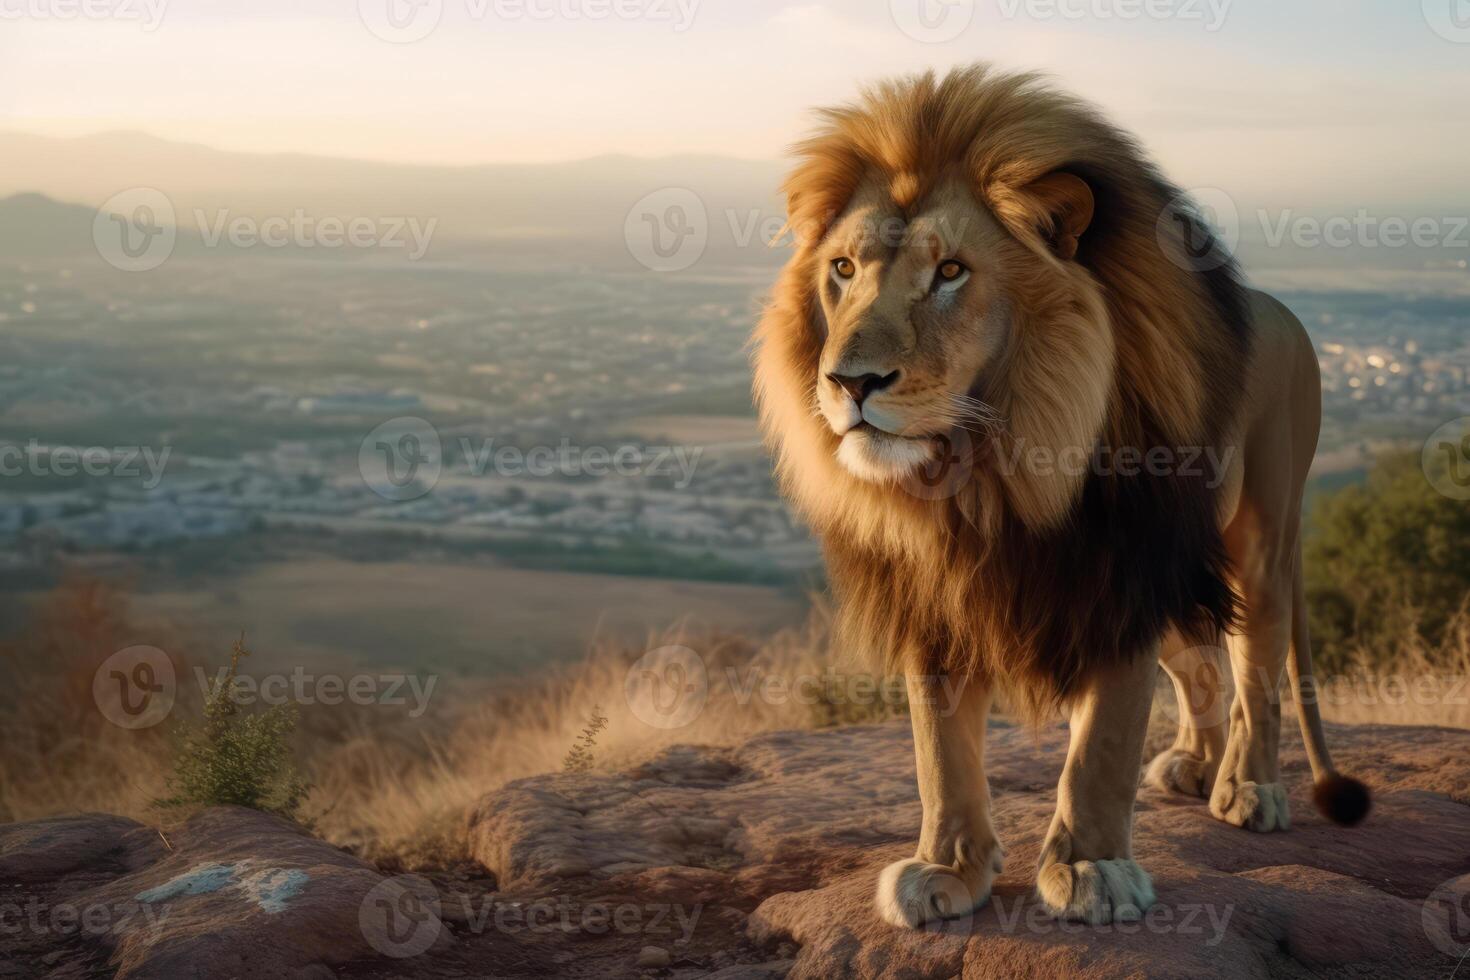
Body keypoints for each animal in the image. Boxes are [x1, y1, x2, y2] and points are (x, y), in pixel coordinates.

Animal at [752, 65, 1370, 934]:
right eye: (842, 270)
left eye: (951, 272)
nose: (850, 382)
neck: (985, 477)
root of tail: (1285, 312)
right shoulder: (935, 595)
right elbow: (938, 751)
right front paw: (948, 869)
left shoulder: (1119, 574)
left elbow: (1102, 746)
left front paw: (1091, 869)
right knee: (1205, 668)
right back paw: (1194, 764)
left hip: (1261, 540)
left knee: (1257, 671)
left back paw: (1248, 788)